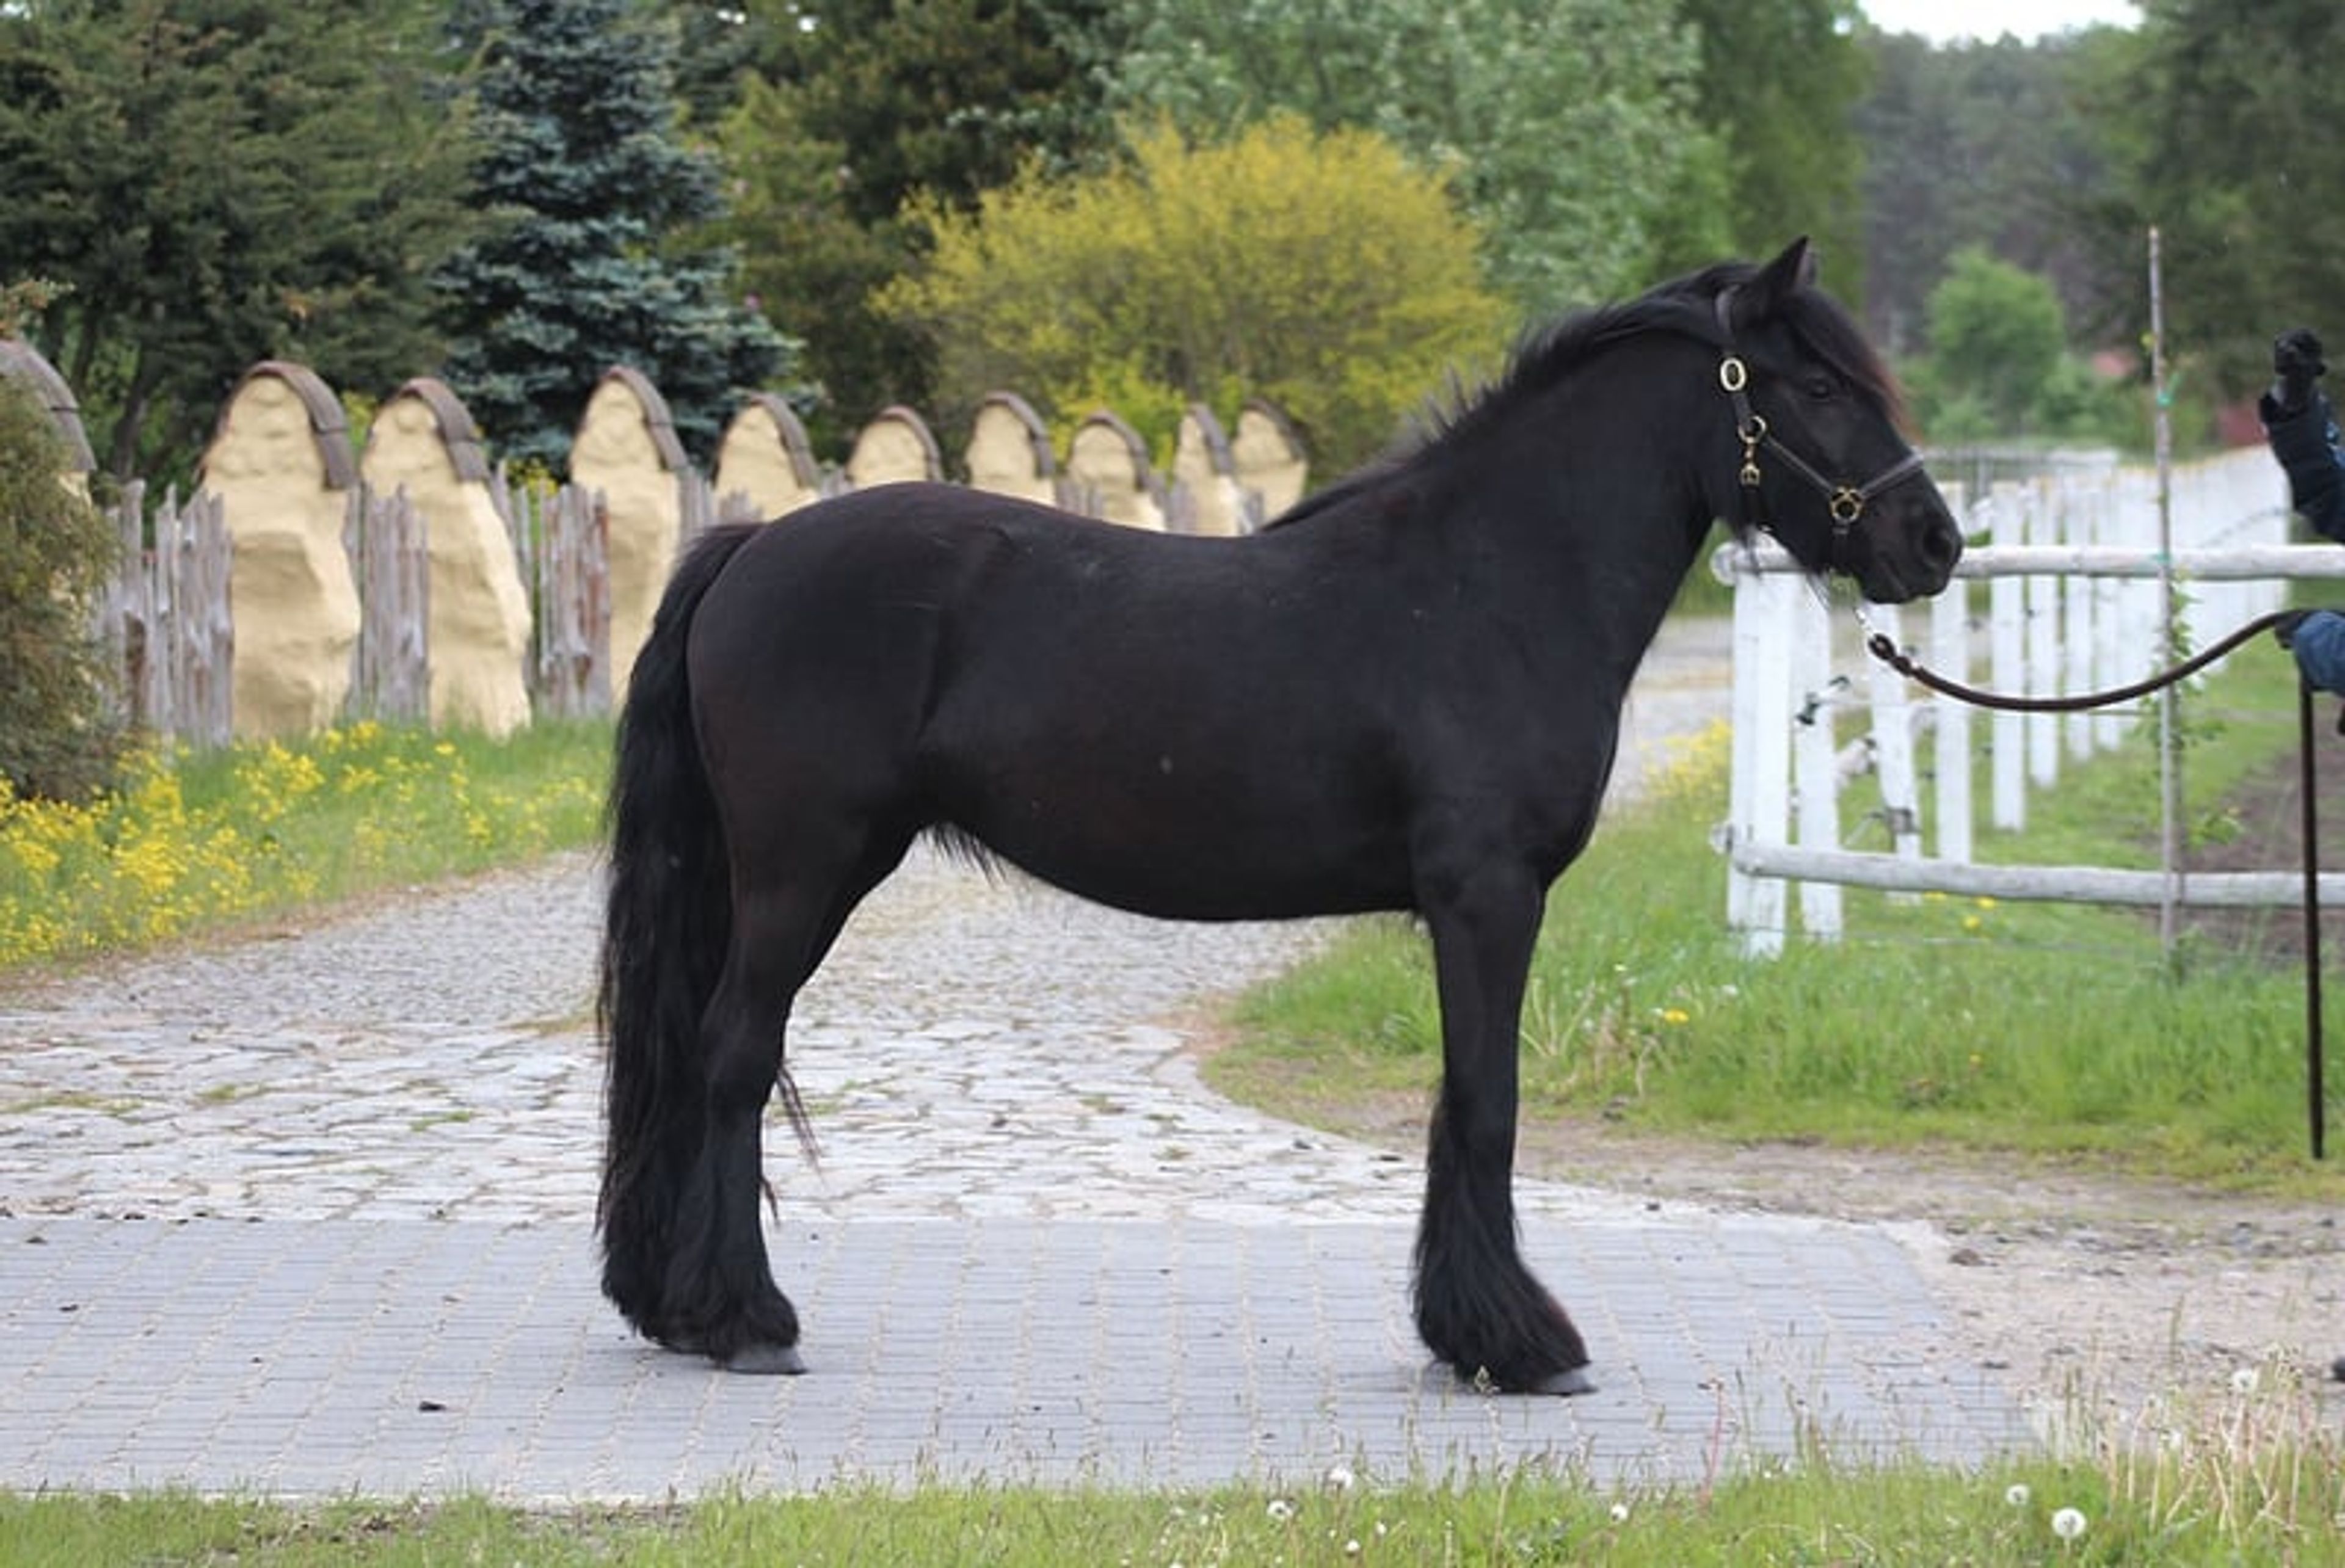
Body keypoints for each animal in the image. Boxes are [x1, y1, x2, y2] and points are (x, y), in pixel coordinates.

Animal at [596, 238, 1962, 1395]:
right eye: (1819, 384)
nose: (1935, 541)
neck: (1490, 586)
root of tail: (751, 547)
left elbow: (1460, 1099)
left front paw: (1471, 1331)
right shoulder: (1487, 897)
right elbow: (1487, 1103)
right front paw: (1520, 1345)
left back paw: (682, 1306)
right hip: (804, 871)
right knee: (732, 1057)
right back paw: (745, 1321)